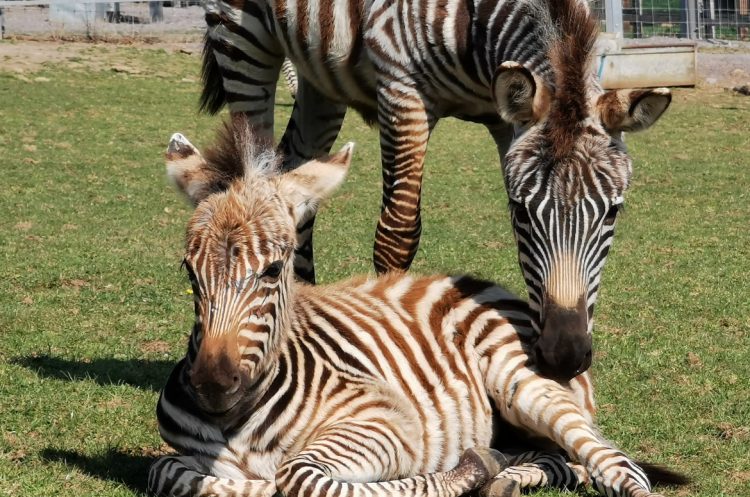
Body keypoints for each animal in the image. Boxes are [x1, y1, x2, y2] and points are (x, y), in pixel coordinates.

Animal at [148, 118, 685, 497]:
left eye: (273, 270)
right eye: (189, 271)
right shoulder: (187, 459)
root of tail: (490, 287)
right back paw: (505, 475)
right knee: (563, 462)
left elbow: (297, 475)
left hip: (524, 385)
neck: (238, 421)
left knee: (615, 466)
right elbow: (167, 472)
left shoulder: (387, 424)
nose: (212, 384)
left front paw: (463, 471)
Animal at [197, 0, 672, 380]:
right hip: (241, 40)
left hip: (319, 72)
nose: (563, 356)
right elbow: (398, 235)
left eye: (613, 212)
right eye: (521, 211)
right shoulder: (401, 93)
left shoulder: (504, 119)